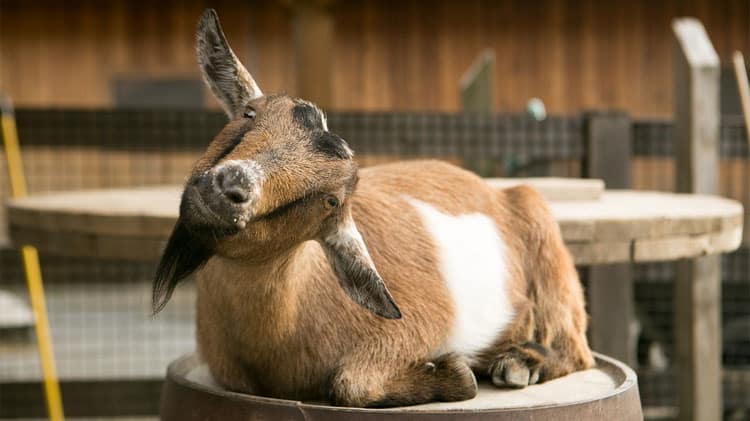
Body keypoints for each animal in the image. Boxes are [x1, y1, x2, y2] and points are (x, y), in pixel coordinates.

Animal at [153, 7, 596, 406]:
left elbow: (349, 384)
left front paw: (450, 371)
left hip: (549, 254)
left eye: (329, 200)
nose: (230, 187)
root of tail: (496, 192)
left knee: (578, 350)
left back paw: (519, 363)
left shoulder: (415, 326)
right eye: (249, 113)